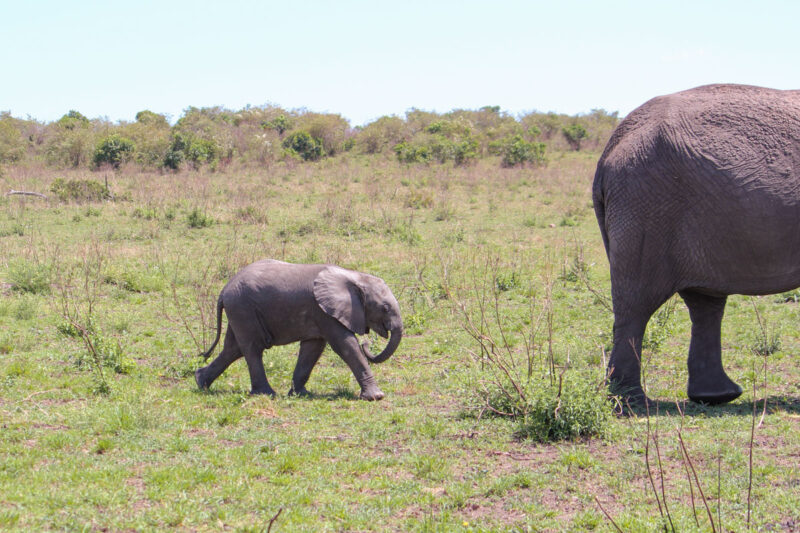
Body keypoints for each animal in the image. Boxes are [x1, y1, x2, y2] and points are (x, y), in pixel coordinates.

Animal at [193, 258, 404, 400]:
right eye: (385, 308)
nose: (367, 343)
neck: (354, 276)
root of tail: (224, 290)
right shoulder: (325, 312)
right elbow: (346, 345)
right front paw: (376, 397)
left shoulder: (320, 314)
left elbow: (313, 349)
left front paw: (301, 394)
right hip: (242, 308)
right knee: (253, 348)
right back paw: (266, 394)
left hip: (239, 311)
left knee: (233, 349)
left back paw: (201, 382)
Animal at [592, 84, 800, 404]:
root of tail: (610, 148)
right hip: (648, 208)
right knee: (636, 305)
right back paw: (630, 401)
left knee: (705, 302)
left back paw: (717, 396)